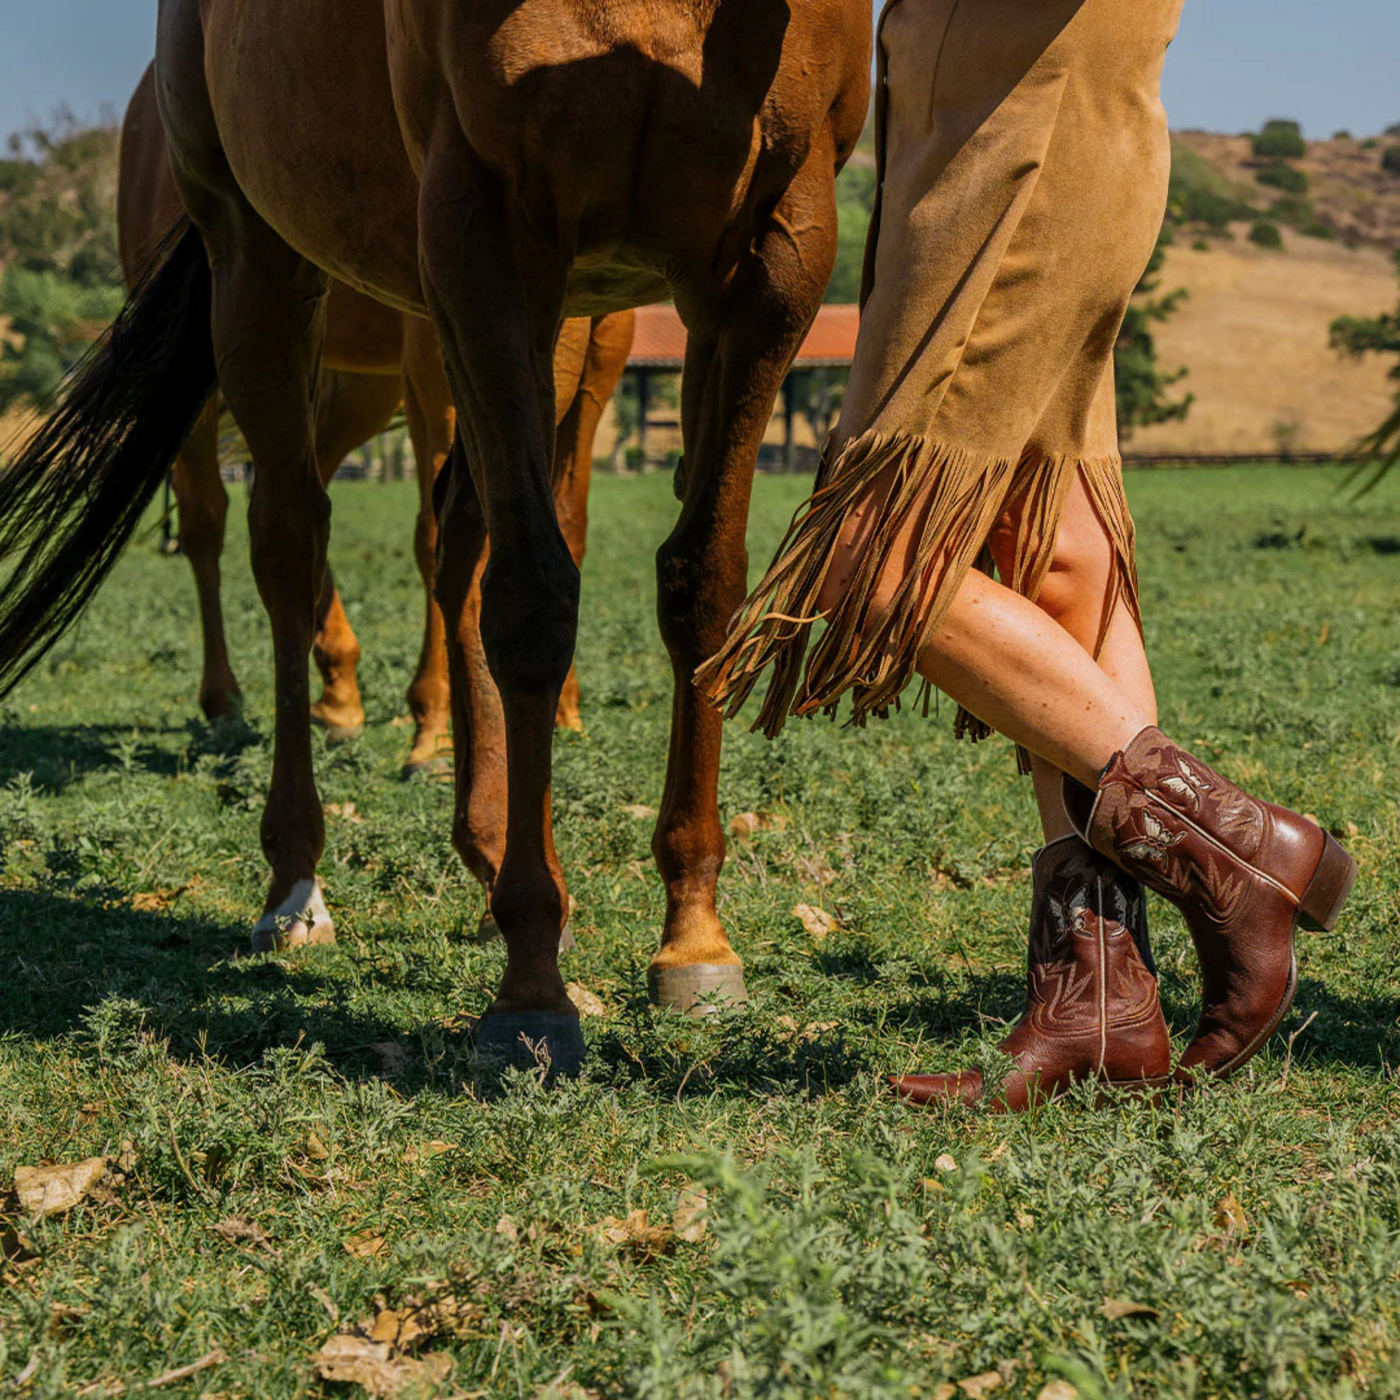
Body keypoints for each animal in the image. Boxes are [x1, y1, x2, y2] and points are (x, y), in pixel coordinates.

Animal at [117, 63, 632, 778]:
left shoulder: (596, 364)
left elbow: (564, 527)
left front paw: (563, 714)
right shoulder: (438, 361)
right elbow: (436, 534)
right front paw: (436, 730)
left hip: (359, 383)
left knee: (307, 491)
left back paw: (338, 696)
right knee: (205, 518)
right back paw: (225, 700)